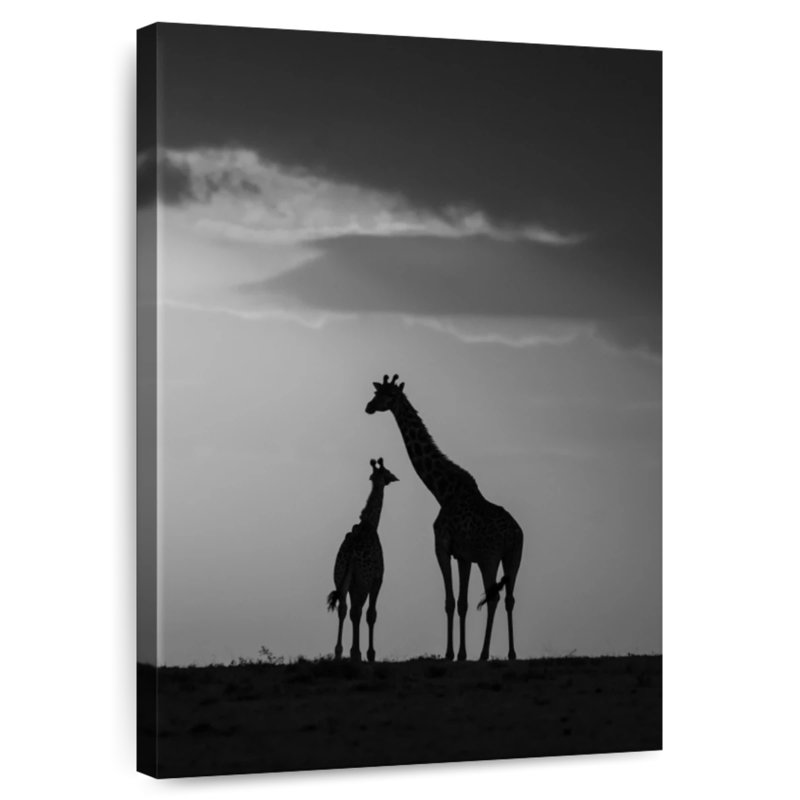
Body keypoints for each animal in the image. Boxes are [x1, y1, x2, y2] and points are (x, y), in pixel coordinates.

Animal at [327, 458, 398, 662]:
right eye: (387, 471)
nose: (394, 477)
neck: (371, 524)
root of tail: (351, 553)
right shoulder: (376, 579)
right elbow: (370, 614)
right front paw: (369, 654)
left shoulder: (351, 582)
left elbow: (351, 612)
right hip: (362, 581)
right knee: (358, 610)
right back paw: (355, 653)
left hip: (340, 578)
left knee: (343, 609)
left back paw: (339, 653)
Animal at [366, 374, 524, 661]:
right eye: (376, 392)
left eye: (388, 395)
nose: (368, 406)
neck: (442, 491)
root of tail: (516, 533)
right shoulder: (463, 555)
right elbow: (462, 603)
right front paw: (461, 653)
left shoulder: (442, 547)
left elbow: (450, 602)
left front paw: (451, 653)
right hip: (513, 556)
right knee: (509, 599)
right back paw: (511, 653)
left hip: (491, 557)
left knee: (494, 598)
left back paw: (485, 654)